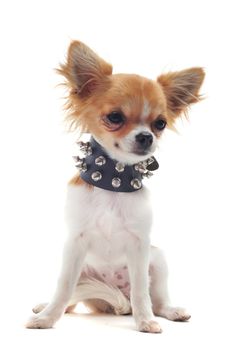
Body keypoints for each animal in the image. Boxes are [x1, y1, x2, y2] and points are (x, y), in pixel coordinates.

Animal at [26, 39, 204, 332]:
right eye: (115, 117)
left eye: (160, 123)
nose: (146, 137)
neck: (113, 183)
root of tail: (114, 302)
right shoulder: (74, 243)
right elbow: (63, 287)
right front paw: (47, 318)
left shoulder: (140, 246)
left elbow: (142, 291)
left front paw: (146, 321)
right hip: (84, 270)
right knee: (72, 299)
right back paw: (45, 306)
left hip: (158, 259)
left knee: (157, 300)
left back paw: (169, 311)